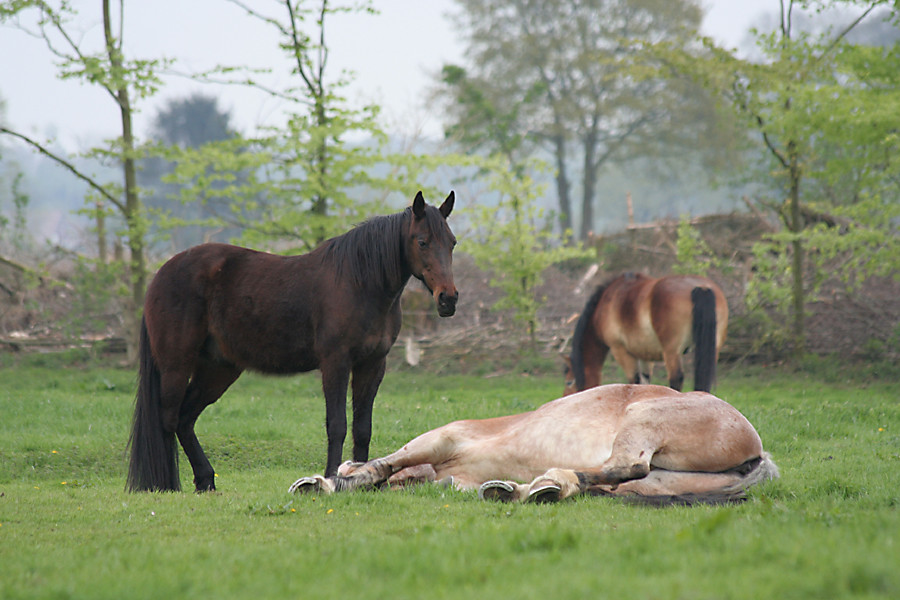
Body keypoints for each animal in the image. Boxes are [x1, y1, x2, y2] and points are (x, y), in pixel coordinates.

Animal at [126, 191, 458, 492]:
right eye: (422, 241)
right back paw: (168, 485)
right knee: (168, 419)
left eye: (452, 242)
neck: (360, 283)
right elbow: (337, 425)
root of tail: (161, 275)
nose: (448, 299)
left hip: (218, 370)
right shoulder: (335, 363)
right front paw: (331, 478)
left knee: (185, 419)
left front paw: (363, 478)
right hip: (176, 364)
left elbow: (362, 428)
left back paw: (205, 481)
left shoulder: (372, 364)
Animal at [568, 272, 728, 394]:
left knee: (676, 378)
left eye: (569, 382)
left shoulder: (620, 350)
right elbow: (644, 382)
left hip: (671, 352)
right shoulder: (644, 354)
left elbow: (633, 381)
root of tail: (701, 287)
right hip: (713, 349)